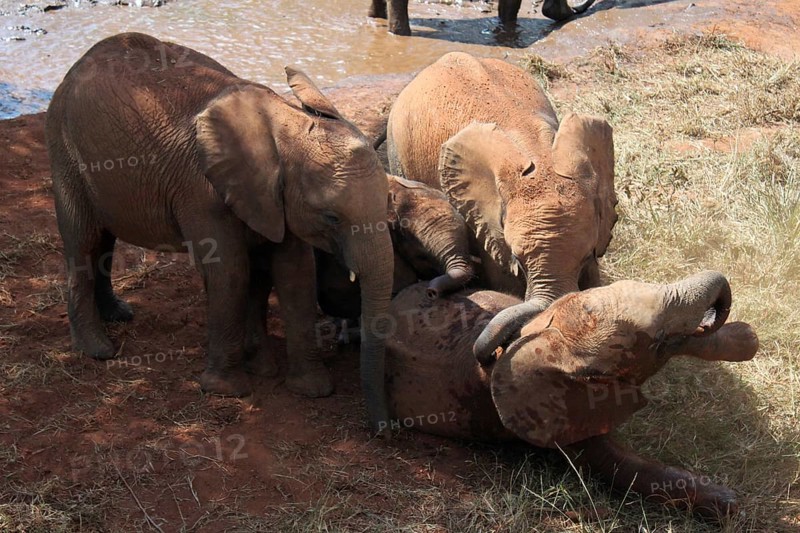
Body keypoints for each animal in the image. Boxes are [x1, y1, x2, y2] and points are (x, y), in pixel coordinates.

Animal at [45, 32, 394, 431]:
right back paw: (97, 350)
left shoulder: (276, 199)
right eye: (332, 217)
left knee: (104, 240)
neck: (285, 123)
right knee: (83, 241)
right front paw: (227, 390)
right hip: (64, 148)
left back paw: (118, 315)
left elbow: (294, 273)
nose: (381, 430)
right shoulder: (201, 191)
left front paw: (306, 387)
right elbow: (230, 271)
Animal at [385, 271, 759, 519]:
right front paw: (727, 502)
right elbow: (614, 463)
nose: (714, 313)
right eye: (656, 341)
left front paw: (745, 338)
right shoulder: (558, 415)